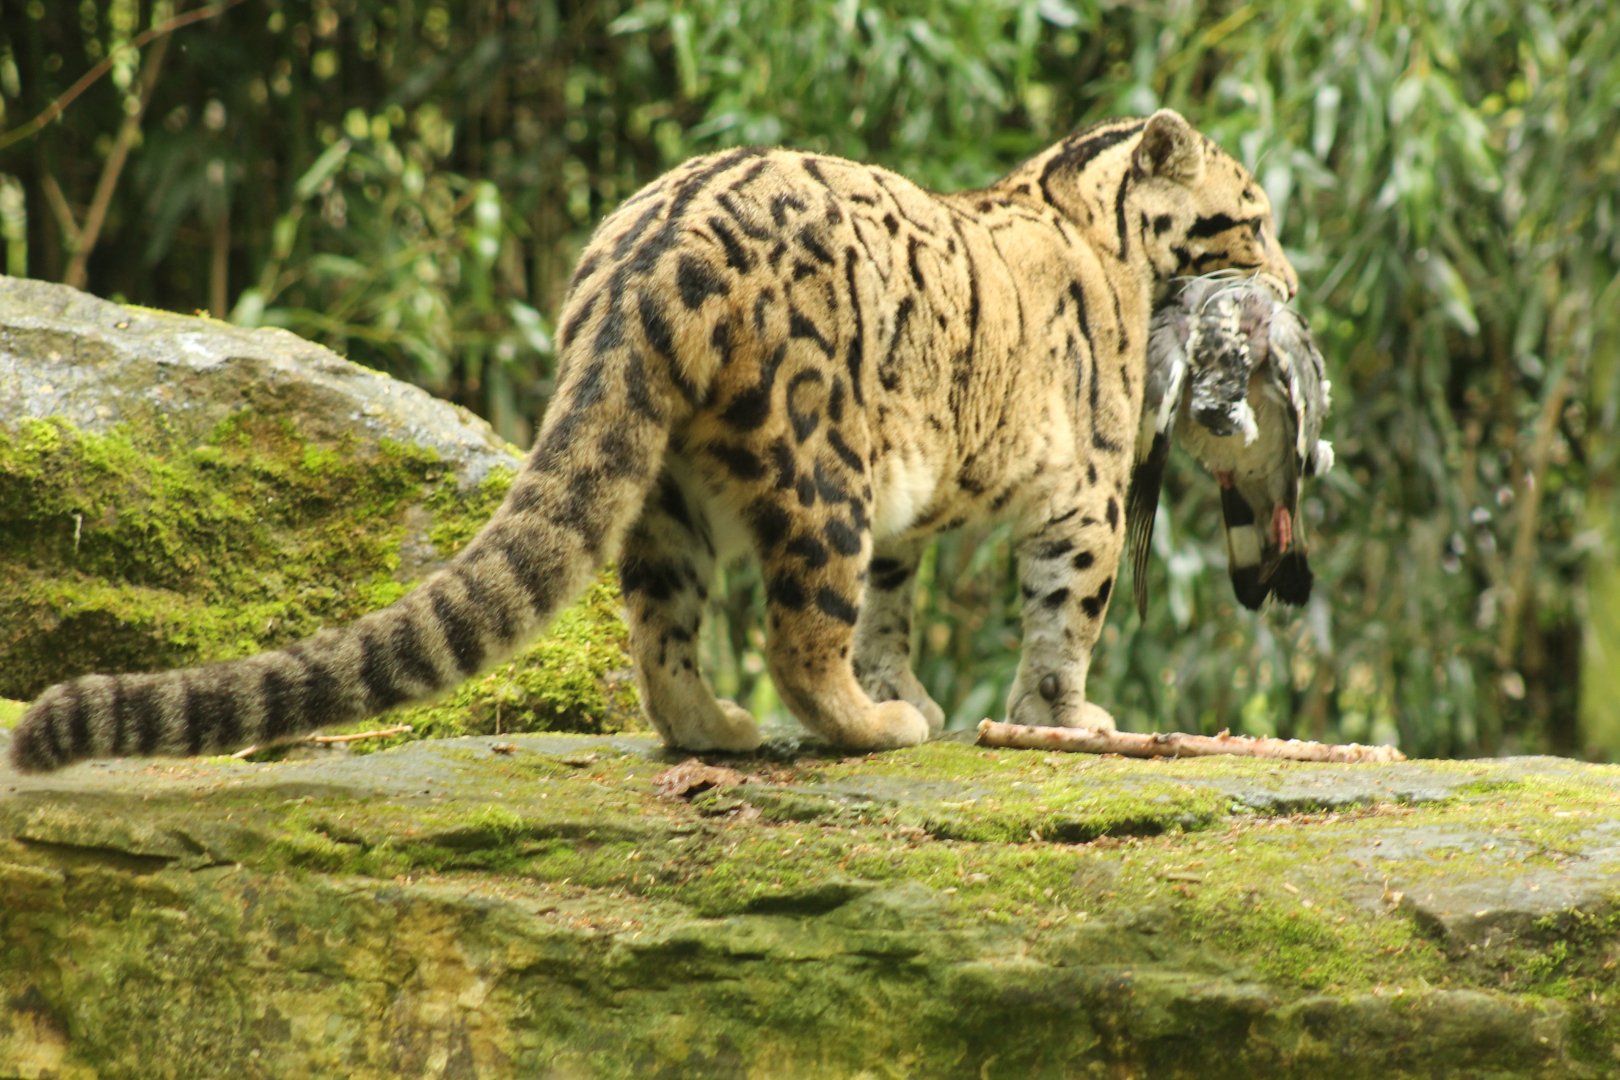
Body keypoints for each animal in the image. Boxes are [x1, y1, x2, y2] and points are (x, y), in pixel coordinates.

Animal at [10, 109, 1297, 772]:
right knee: (798, 632)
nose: (1288, 278)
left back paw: (723, 729)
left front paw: (919, 682)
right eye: (1254, 214)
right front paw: (1063, 715)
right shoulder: (1087, 491)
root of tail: (641, 255)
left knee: (662, 636)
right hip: (820, 467)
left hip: (667, 490)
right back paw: (862, 728)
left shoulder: (913, 522)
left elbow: (895, 606)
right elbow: (1061, 615)